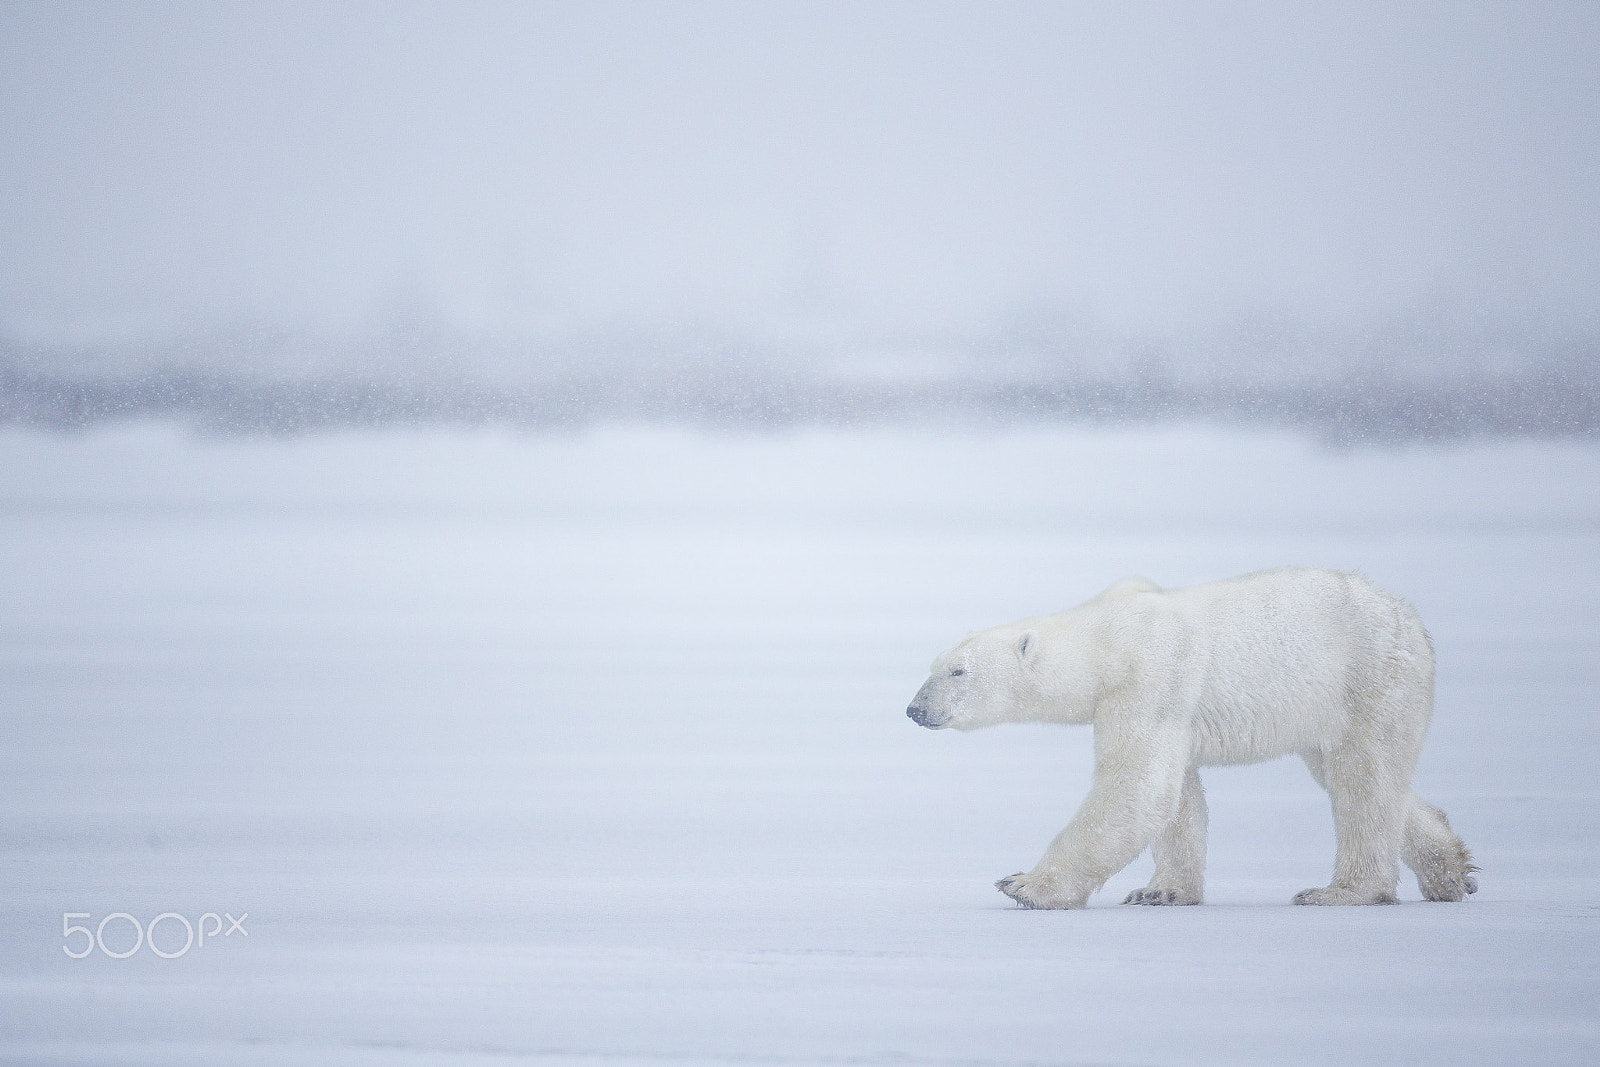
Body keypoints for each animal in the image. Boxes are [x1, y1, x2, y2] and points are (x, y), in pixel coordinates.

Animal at [908, 566, 1478, 908]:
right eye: (933, 666)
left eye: (958, 672)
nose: (916, 709)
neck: (1108, 636)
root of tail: (1411, 617)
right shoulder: (1157, 703)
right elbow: (1176, 796)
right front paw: (1159, 893)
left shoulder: (1150, 677)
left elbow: (1137, 786)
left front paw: (1024, 885)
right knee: (1360, 776)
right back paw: (1451, 873)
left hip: (1369, 678)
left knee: (1364, 777)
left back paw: (1340, 891)